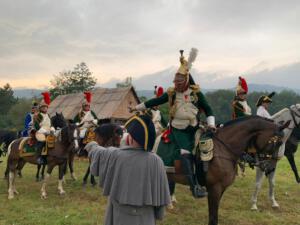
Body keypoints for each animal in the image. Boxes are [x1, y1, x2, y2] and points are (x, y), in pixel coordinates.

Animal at [155, 116, 286, 225]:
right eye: (277, 142)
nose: (270, 168)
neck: (224, 149)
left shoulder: (221, 189)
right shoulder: (214, 189)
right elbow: (213, 218)